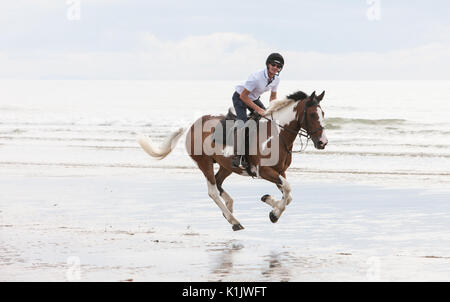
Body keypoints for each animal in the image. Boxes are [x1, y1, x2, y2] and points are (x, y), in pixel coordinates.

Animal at [137, 89, 326, 231]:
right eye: (312, 115)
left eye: (323, 113)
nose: (323, 143)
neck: (277, 135)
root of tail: (192, 125)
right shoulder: (264, 171)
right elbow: (287, 189)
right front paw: (273, 212)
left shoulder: (280, 171)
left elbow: (288, 195)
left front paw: (270, 205)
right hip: (204, 163)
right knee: (213, 191)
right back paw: (234, 221)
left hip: (226, 165)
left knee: (219, 182)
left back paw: (229, 207)